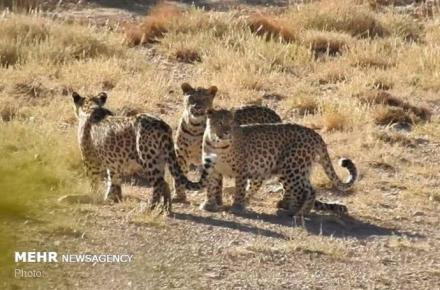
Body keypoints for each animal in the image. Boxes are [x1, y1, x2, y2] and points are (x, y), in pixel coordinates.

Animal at [71, 90, 216, 211]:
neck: (91, 107)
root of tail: (163, 125)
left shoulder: (90, 162)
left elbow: (94, 182)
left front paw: (95, 196)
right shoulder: (113, 164)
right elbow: (114, 181)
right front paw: (114, 198)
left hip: (148, 158)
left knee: (158, 184)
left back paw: (150, 207)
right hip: (160, 159)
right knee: (164, 183)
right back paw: (165, 208)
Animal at [201, 107, 360, 216]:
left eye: (231, 123)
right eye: (220, 123)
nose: (227, 132)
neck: (218, 145)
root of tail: (315, 134)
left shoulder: (242, 170)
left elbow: (239, 189)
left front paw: (237, 207)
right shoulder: (212, 168)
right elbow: (210, 186)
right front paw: (209, 204)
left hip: (292, 167)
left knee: (307, 190)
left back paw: (298, 213)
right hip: (295, 169)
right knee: (301, 189)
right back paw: (291, 208)